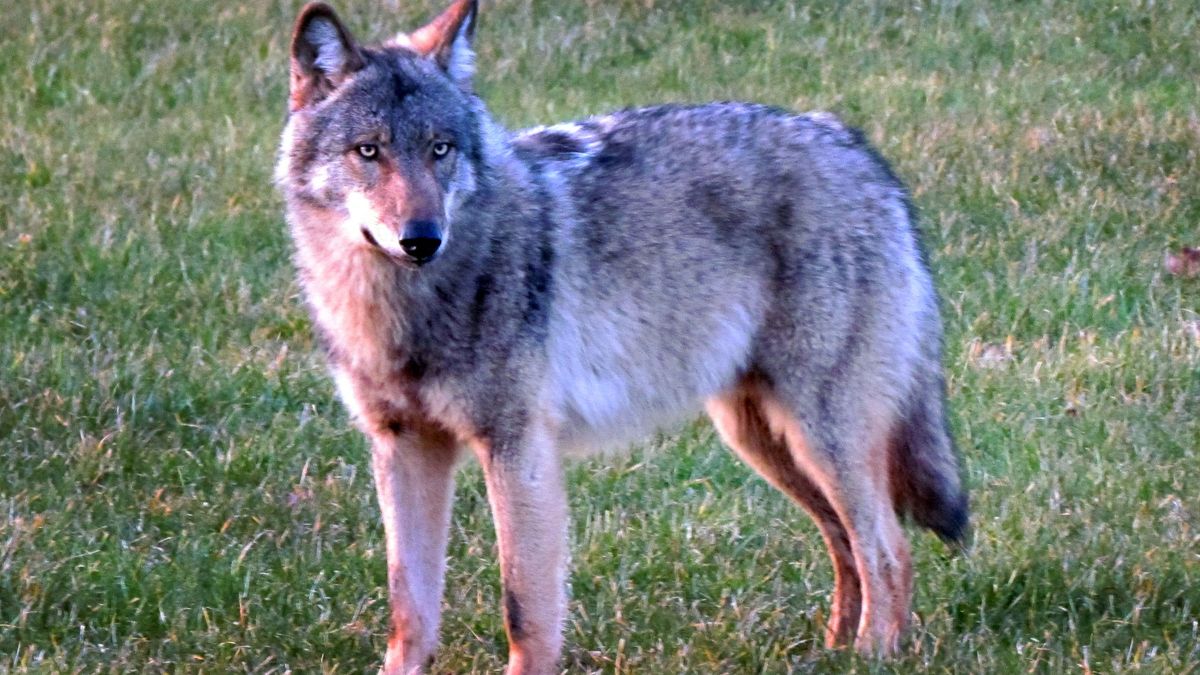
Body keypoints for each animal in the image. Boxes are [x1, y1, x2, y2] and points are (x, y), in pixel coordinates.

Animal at [275, 1, 969, 672]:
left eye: (440, 149)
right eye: (369, 151)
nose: (422, 238)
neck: (402, 308)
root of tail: (856, 149)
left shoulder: (518, 448)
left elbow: (525, 609)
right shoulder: (404, 446)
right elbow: (409, 608)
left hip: (819, 436)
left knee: (888, 548)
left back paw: (872, 658)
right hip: (763, 439)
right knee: (846, 542)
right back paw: (832, 653)